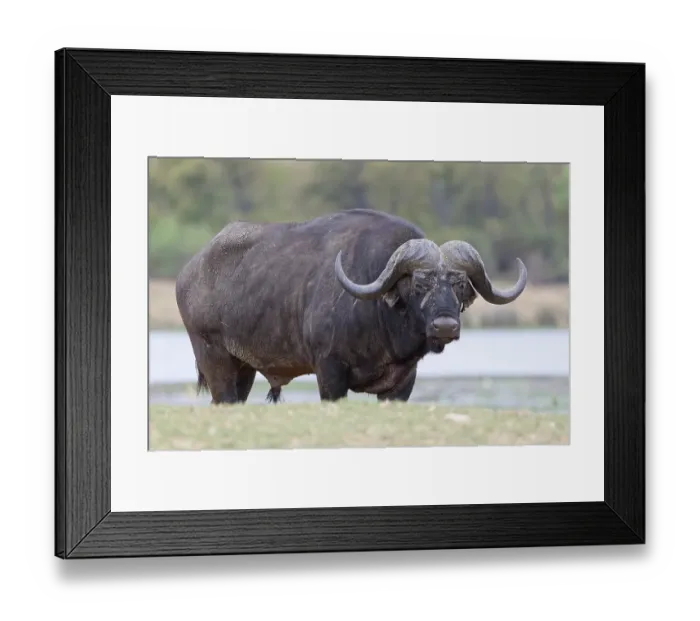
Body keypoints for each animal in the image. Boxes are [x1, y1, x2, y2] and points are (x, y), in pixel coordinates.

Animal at [175, 209, 527, 404]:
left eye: (459, 284)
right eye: (419, 283)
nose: (445, 326)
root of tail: (189, 271)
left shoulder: (402, 383)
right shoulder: (329, 371)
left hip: (244, 368)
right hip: (215, 359)